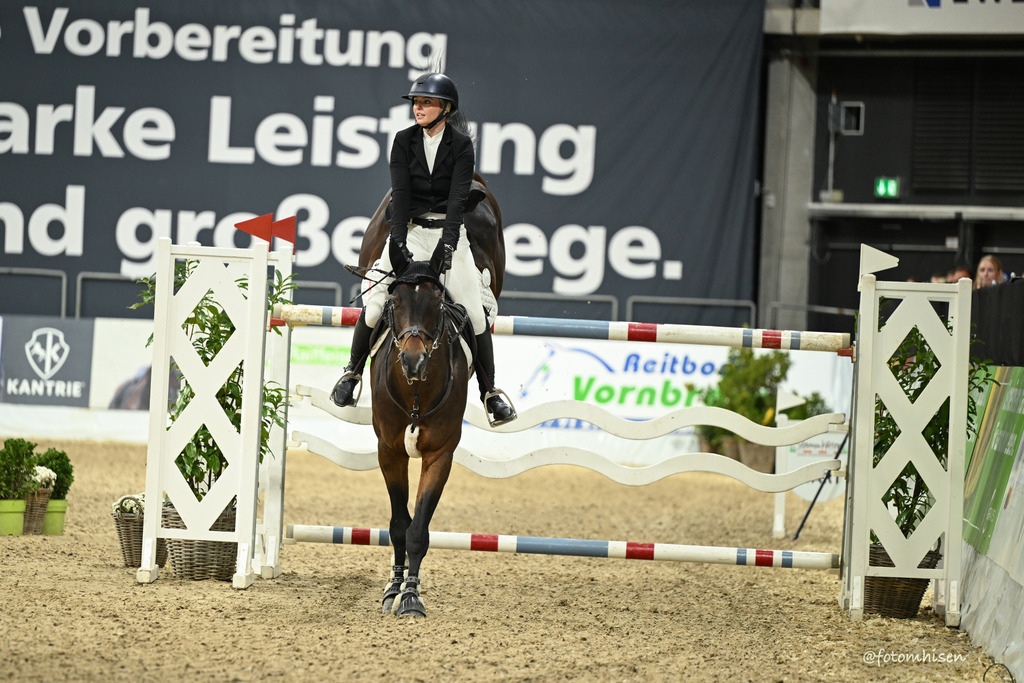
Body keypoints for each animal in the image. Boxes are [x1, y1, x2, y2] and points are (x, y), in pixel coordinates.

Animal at [358, 174, 504, 617]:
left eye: (437, 300)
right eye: (394, 299)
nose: (414, 360)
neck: (416, 392)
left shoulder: (440, 454)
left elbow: (419, 529)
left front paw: (410, 596)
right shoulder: (389, 450)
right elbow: (398, 525)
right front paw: (393, 588)